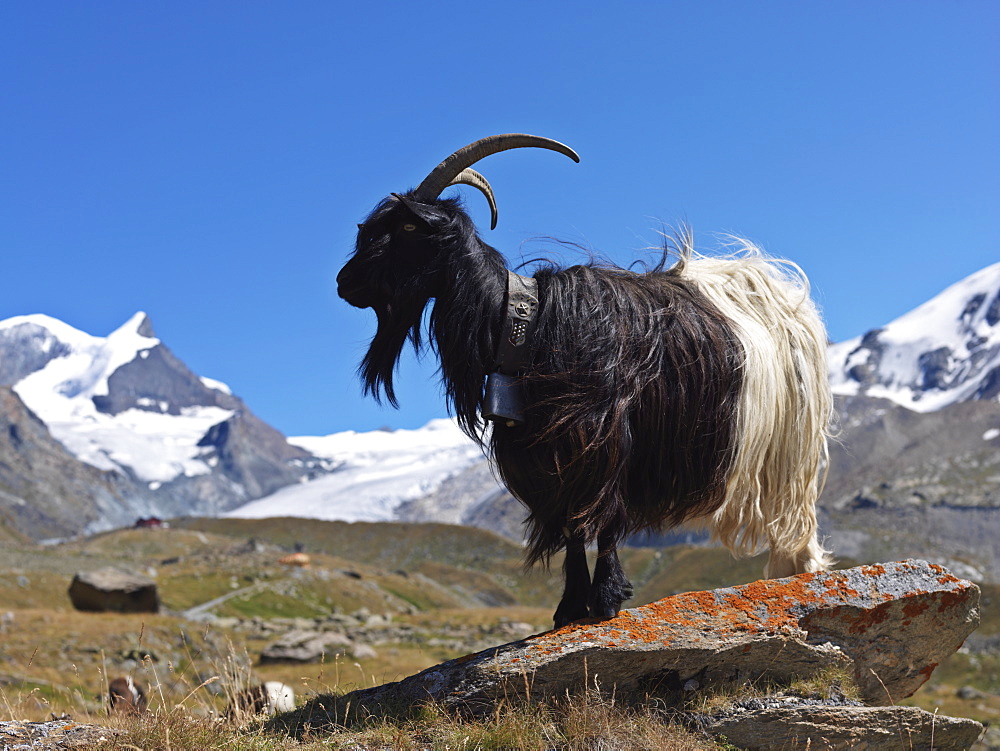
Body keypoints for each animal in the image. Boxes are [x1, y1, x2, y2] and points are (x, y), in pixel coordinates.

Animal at [340, 134, 832, 628]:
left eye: (407, 227)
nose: (345, 283)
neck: (530, 325)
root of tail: (784, 293)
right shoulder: (550, 459)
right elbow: (572, 529)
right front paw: (571, 606)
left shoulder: (608, 442)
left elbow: (606, 521)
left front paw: (608, 598)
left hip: (791, 453)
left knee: (795, 527)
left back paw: (796, 579)